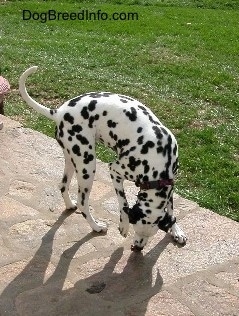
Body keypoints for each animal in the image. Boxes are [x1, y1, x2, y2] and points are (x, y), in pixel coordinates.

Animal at [19, 66, 187, 252]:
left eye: (150, 235)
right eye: (136, 229)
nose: (137, 247)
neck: (158, 159)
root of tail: (59, 112)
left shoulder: (171, 183)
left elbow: (171, 210)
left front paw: (176, 231)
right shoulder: (115, 171)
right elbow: (124, 203)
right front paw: (123, 225)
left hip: (72, 160)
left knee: (63, 186)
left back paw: (70, 205)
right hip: (87, 165)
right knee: (83, 203)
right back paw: (96, 226)